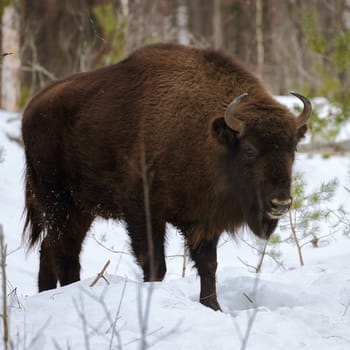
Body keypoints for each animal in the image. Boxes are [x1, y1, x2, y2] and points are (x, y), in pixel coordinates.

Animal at [21, 43, 312, 308]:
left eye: (292, 148)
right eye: (250, 149)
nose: (280, 203)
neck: (207, 135)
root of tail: (32, 107)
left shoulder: (204, 220)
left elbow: (208, 266)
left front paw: (213, 307)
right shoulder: (145, 213)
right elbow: (155, 266)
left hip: (81, 211)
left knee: (51, 249)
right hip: (59, 204)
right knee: (64, 252)